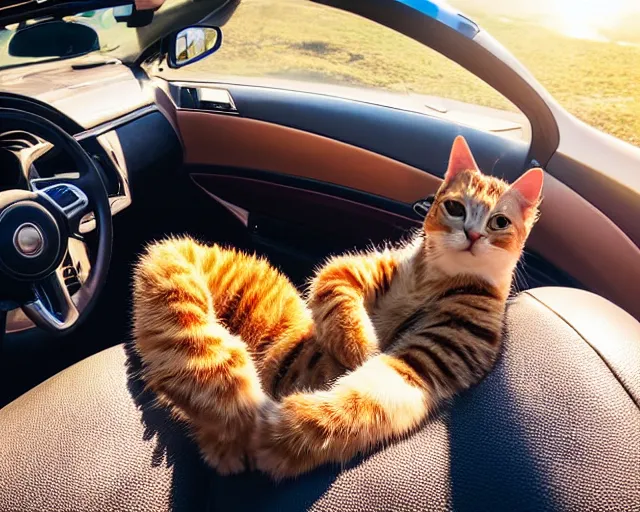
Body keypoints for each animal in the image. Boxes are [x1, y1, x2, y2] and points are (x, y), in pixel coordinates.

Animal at [132, 136, 544, 480]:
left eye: (499, 222)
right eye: (456, 208)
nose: (472, 235)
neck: (435, 280)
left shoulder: (426, 361)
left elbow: (363, 399)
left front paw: (287, 435)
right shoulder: (350, 270)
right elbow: (337, 298)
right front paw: (358, 346)